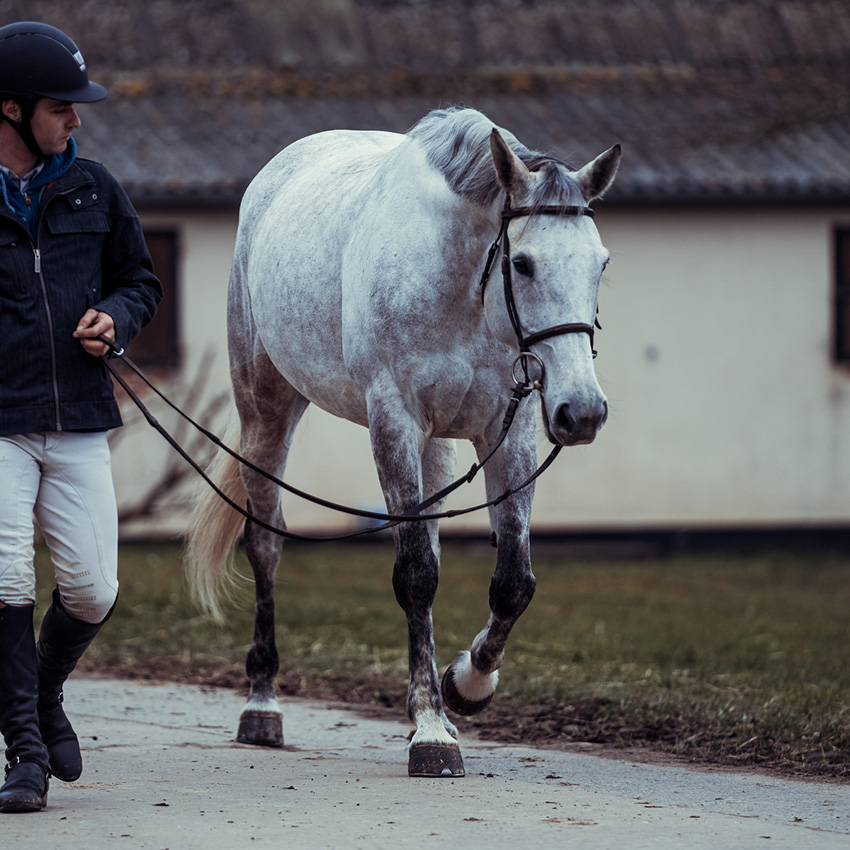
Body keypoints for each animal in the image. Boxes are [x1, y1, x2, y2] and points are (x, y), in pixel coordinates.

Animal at [186, 106, 616, 776]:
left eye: (600, 263)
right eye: (523, 263)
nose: (583, 412)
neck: (463, 287)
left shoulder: (508, 427)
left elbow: (512, 582)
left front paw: (466, 688)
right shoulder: (394, 420)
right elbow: (416, 574)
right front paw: (432, 734)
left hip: (437, 447)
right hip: (266, 412)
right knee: (265, 544)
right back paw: (262, 705)